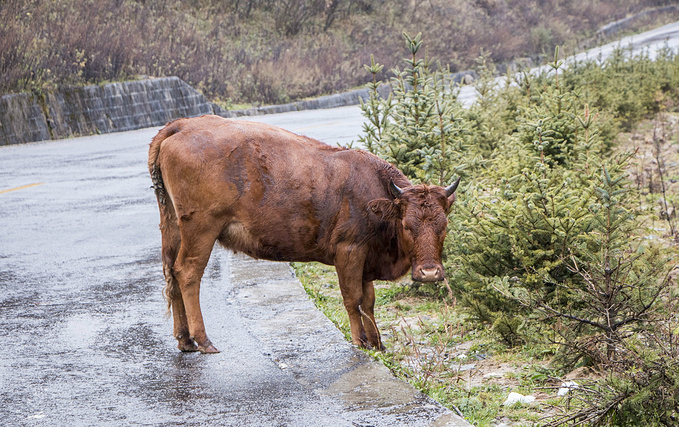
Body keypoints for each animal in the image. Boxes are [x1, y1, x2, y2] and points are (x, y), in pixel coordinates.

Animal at [148, 115, 456, 352]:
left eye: (444, 225)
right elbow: (352, 298)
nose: (430, 272)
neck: (377, 193)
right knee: (188, 273)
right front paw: (360, 342)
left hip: (172, 225)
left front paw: (378, 343)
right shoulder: (349, 252)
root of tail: (183, 125)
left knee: (171, 272)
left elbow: (368, 301)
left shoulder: (366, 259)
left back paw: (185, 340)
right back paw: (203, 341)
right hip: (201, 229)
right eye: (407, 226)